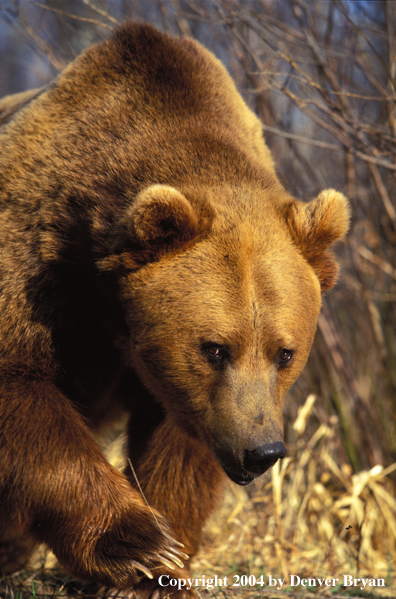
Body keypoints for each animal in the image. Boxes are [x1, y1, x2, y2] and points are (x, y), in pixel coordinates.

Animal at [0, 21, 350, 596]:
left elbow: (181, 449)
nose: (262, 452)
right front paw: (136, 543)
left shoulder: (188, 399)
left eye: (284, 353)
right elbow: (24, 390)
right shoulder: (38, 265)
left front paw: (160, 566)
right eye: (214, 348)